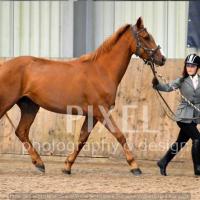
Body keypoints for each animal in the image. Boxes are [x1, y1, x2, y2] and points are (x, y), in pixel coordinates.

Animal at [0, 18, 166, 176]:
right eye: (145, 37)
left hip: (30, 106)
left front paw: (67, 167)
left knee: (21, 132)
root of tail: (4, 65)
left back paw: (39, 164)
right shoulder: (101, 112)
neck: (102, 71)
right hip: (6, 103)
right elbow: (119, 135)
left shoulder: (92, 115)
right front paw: (135, 166)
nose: (162, 59)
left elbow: (82, 139)